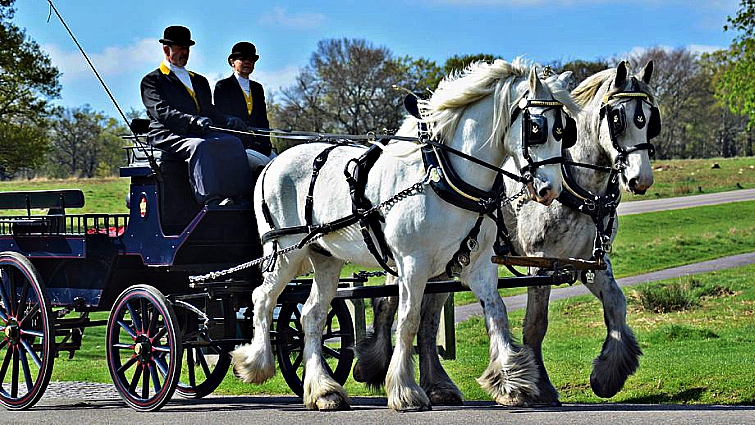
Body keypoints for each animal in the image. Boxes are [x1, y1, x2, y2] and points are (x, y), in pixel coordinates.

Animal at [230, 58, 580, 411]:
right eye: (535, 128)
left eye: (565, 130)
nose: (550, 190)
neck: (443, 174)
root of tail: (273, 163)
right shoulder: (413, 263)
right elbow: (409, 320)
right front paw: (405, 390)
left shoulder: (478, 263)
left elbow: (497, 313)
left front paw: (512, 382)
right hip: (285, 253)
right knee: (262, 299)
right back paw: (256, 363)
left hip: (326, 258)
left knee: (312, 316)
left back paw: (324, 391)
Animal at [354, 60, 660, 406]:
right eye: (618, 118)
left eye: (651, 120)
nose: (641, 180)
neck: (577, 187)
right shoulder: (541, 261)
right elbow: (536, 324)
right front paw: (542, 387)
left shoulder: (589, 261)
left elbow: (616, 305)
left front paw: (608, 375)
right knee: (387, 304)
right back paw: (372, 365)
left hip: (444, 265)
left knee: (428, 320)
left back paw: (437, 386)